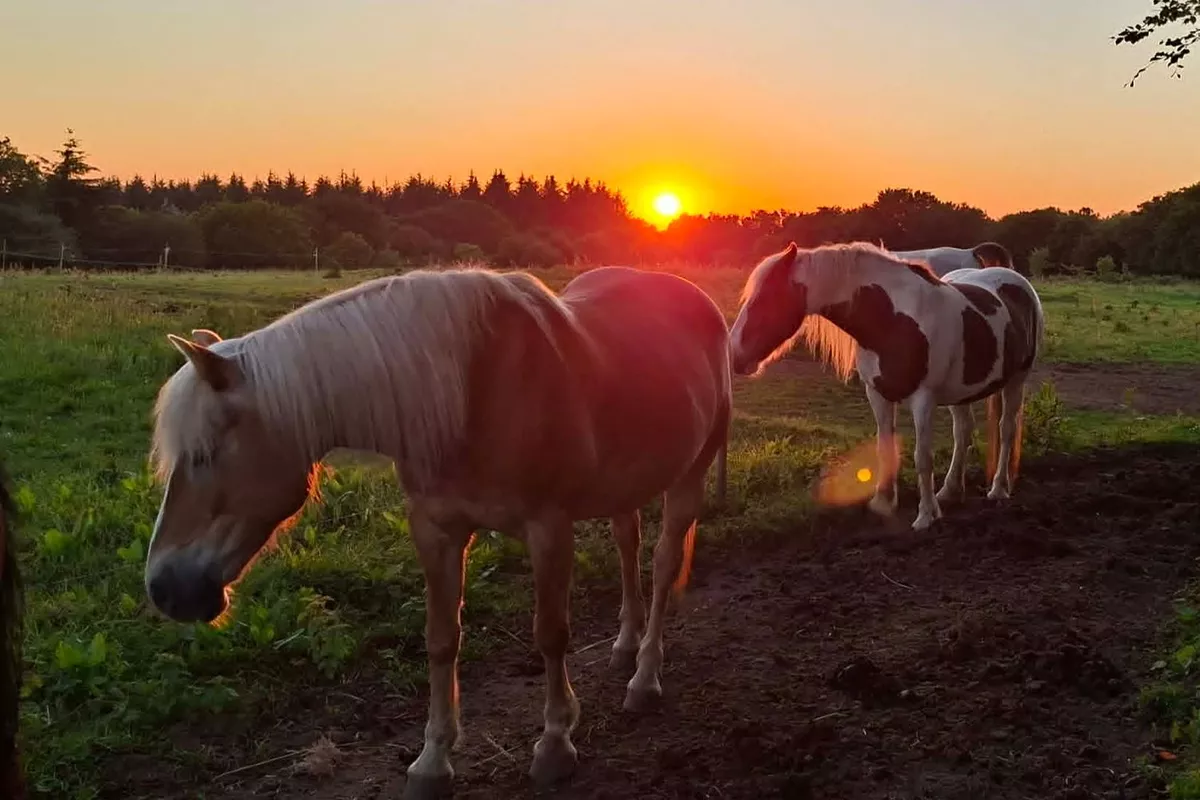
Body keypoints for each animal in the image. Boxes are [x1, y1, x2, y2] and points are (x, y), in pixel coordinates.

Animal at [143, 265, 732, 798]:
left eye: (203, 453)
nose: (164, 589)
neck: (475, 389)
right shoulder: (436, 529)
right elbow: (441, 638)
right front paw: (432, 762)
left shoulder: (549, 529)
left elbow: (550, 633)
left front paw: (555, 745)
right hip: (625, 486)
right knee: (628, 543)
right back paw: (625, 646)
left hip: (691, 472)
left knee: (663, 561)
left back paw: (645, 677)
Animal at [729, 241, 1044, 530]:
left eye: (768, 298)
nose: (733, 354)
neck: (893, 320)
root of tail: (1015, 281)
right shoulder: (877, 394)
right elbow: (884, 448)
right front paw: (883, 502)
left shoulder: (923, 400)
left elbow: (922, 457)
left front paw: (925, 516)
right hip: (962, 391)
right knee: (963, 432)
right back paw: (950, 491)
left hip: (1016, 380)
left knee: (1006, 429)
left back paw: (998, 488)